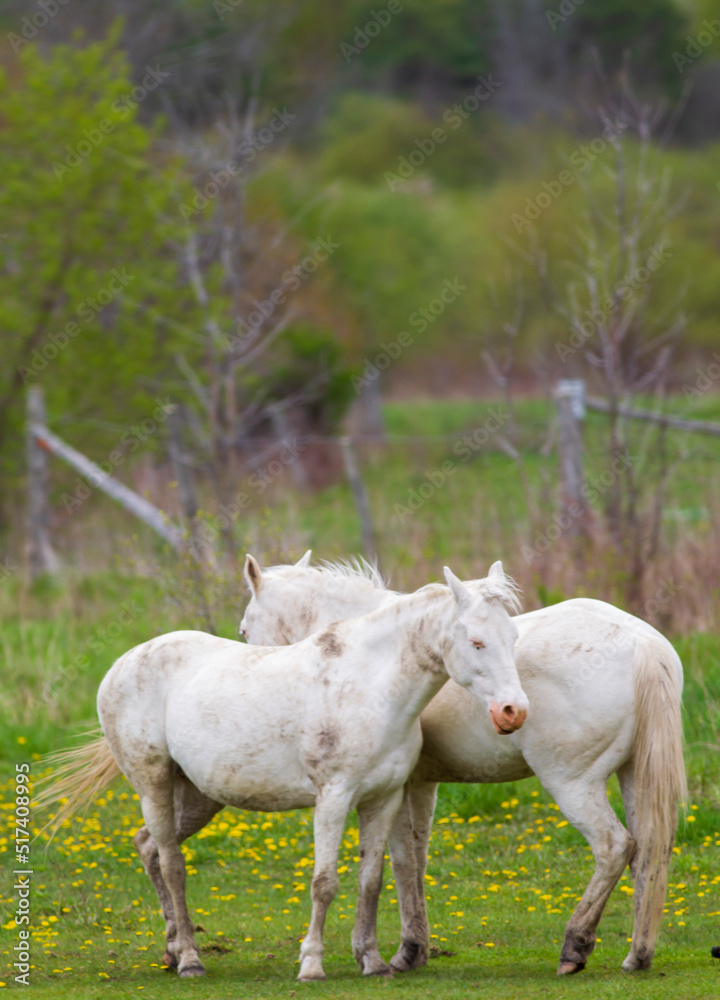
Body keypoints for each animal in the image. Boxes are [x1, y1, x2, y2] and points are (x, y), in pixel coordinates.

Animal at [37, 565, 527, 982]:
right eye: (477, 642)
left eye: (513, 637)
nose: (514, 711)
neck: (371, 686)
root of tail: (123, 663)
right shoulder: (333, 797)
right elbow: (324, 883)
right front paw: (311, 964)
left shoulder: (383, 799)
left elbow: (372, 880)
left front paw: (372, 962)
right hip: (152, 785)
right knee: (173, 864)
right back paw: (191, 960)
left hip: (196, 796)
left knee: (151, 848)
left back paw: (174, 949)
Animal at [238, 551, 686, 976]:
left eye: (244, 631)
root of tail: (642, 644)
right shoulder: (421, 785)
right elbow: (416, 860)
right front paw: (414, 948)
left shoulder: (396, 789)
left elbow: (402, 863)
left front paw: (406, 952)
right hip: (633, 776)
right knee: (648, 853)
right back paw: (637, 955)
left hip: (572, 784)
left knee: (614, 847)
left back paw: (575, 945)